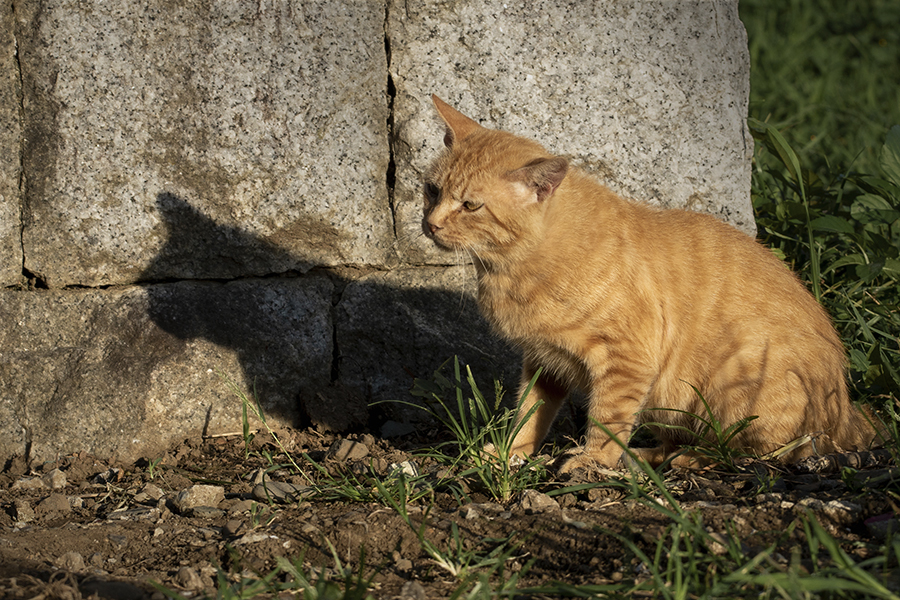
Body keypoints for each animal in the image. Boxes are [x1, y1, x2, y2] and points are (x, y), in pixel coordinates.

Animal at [422, 94, 880, 472]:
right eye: (431, 190)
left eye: (470, 206)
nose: (431, 224)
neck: (513, 268)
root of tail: (847, 411)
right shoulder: (543, 361)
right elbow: (530, 413)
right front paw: (510, 453)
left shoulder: (626, 360)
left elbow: (607, 420)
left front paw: (593, 462)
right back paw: (647, 456)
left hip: (736, 384)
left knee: (754, 453)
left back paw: (683, 460)